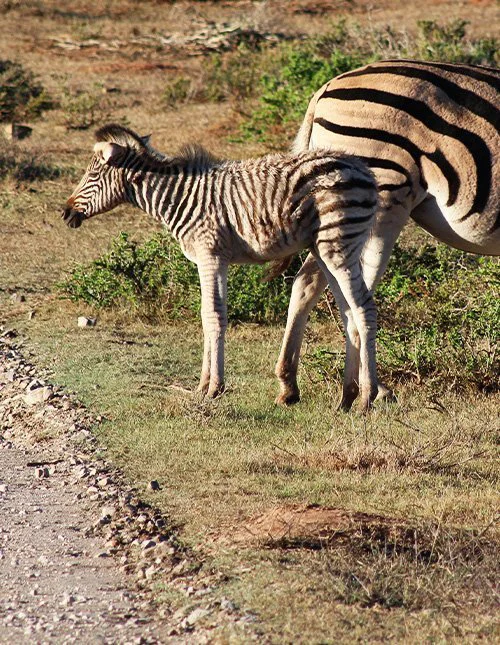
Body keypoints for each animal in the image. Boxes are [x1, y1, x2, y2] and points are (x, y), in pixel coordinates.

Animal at [62, 124, 381, 411]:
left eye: (92, 175)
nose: (65, 213)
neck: (179, 199)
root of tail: (363, 170)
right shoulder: (213, 260)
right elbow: (207, 315)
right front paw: (202, 386)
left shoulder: (210, 255)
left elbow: (214, 316)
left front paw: (214, 388)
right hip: (326, 249)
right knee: (349, 314)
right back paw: (346, 399)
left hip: (338, 246)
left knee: (364, 309)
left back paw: (367, 398)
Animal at [273, 59, 500, 408]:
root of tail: (326, 87)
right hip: (379, 205)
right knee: (357, 300)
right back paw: (366, 391)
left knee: (309, 282)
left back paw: (297, 385)